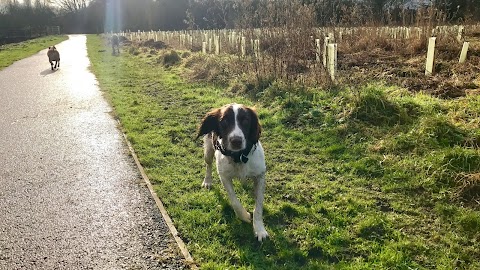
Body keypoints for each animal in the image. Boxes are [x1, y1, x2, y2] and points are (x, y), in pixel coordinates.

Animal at [197, 103, 268, 240]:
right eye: (224, 121)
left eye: (245, 120)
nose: (236, 141)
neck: (239, 157)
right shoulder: (224, 176)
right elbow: (235, 201)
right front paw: (244, 216)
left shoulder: (260, 175)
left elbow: (258, 206)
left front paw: (259, 229)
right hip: (208, 151)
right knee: (208, 165)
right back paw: (208, 181)